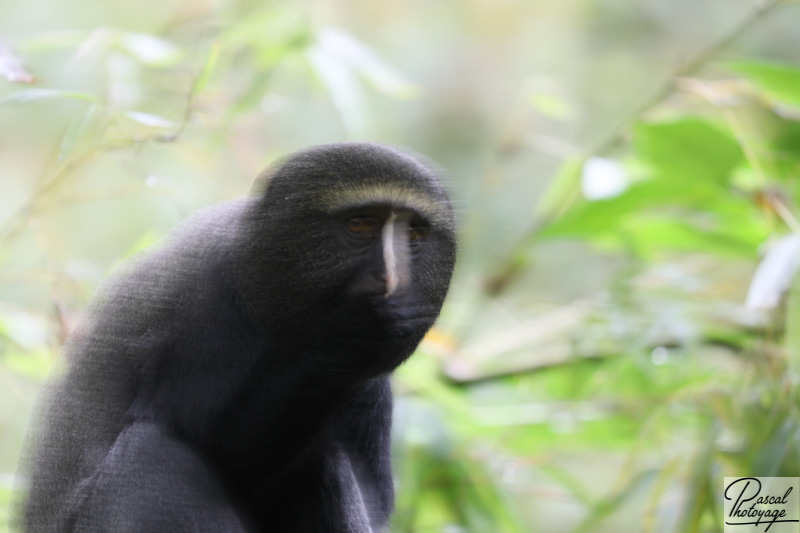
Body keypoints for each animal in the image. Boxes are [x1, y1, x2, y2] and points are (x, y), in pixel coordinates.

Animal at [17, 142, 456, 532]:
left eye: (412, 234)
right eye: (360, 224)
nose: (394, 277)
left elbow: (373, 502)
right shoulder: (199, 301)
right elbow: (217, 441)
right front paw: (353, 333)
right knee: (149, 451)